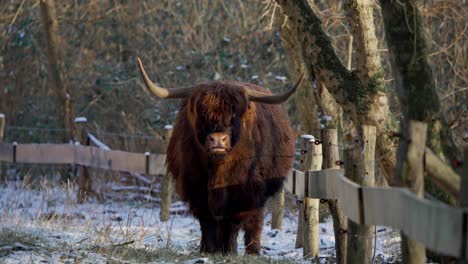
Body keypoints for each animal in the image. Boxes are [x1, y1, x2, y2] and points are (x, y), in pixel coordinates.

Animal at [136, 57, 304, 254]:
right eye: (202, 113)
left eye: (234, 114)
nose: (217, 139)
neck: (219, 170)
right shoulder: (195, 187)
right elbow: (207, 221)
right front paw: (208, 249)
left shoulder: (245, 190)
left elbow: (233, 222)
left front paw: (229, 249)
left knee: (254, 222)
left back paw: (252, 250)